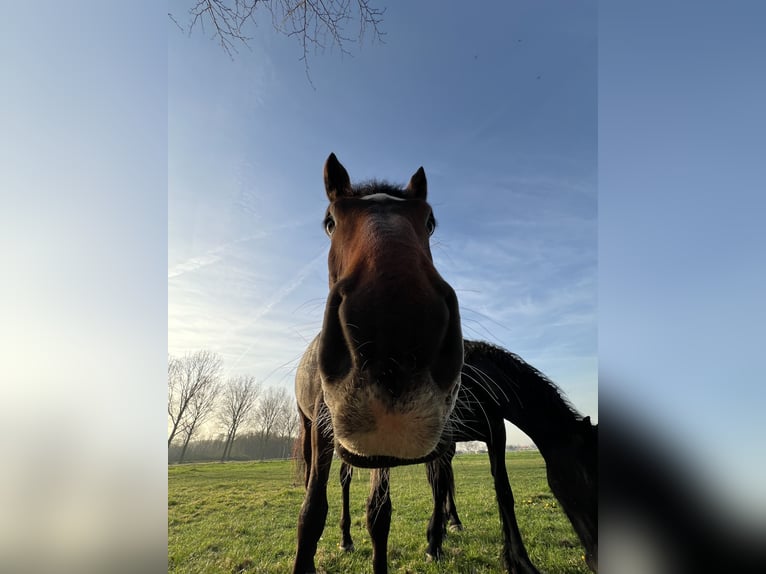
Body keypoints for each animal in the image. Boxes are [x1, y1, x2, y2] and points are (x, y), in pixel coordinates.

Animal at [292, 154, 464, 574]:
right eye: (330, 221)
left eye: (429, 222)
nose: (395, 327)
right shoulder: (322, 430)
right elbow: (311, 512)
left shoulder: (379, 449)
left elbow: (378, 514)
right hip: (308, 428)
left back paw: (346, 538)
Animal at [338, 339, 598, 573]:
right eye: (585, 479)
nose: (596, 560)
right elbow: (438, 487)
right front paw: (433, 546)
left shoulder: (495, 433)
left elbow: (503, 491)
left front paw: (520, 562)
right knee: (345, 478)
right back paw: (346, 539)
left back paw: (452, 522)